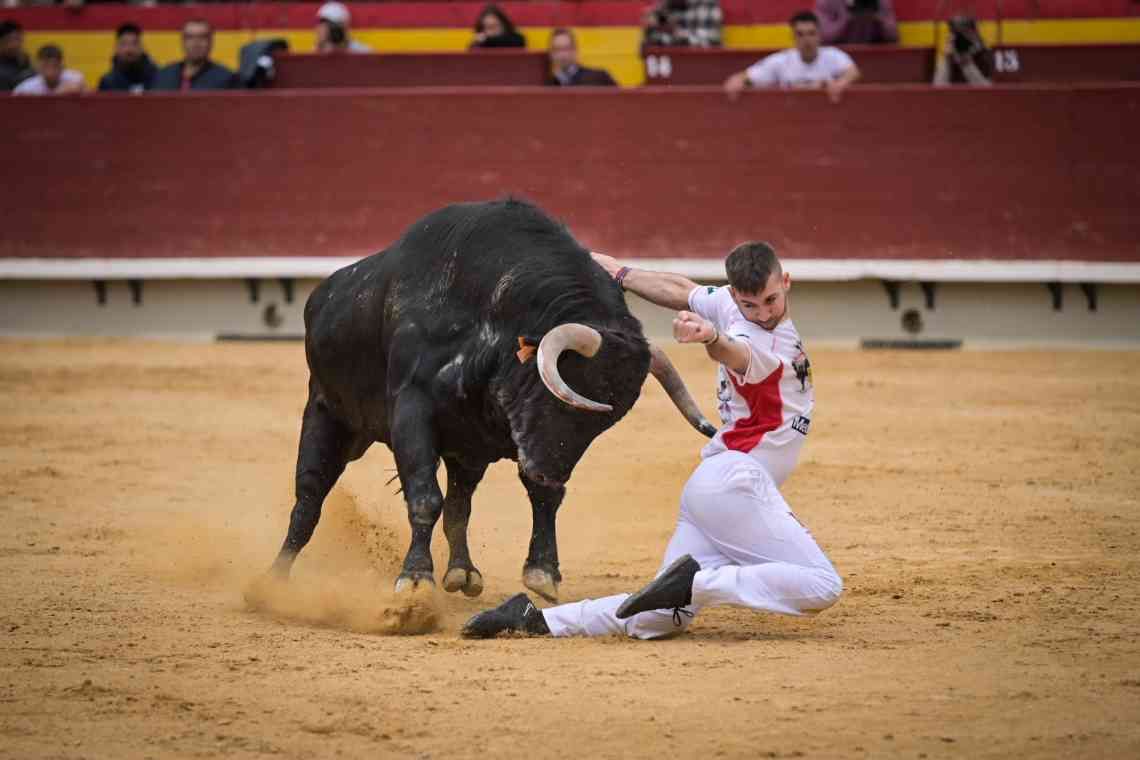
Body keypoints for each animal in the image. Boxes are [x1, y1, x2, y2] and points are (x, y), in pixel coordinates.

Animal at [269, 199, 711, 601]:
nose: (550, 473)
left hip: (466, 451)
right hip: (327, 415)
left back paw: (463, 572)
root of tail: (323, 296)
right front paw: (415, 579)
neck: (490, 317)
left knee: (459, 506)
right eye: (568, 394)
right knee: (309, 498)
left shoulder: (506, 441)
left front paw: (542, 572)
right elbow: (425, 496)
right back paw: (275, 579)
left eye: (604, 422)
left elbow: (530, 499)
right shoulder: (412, 409)